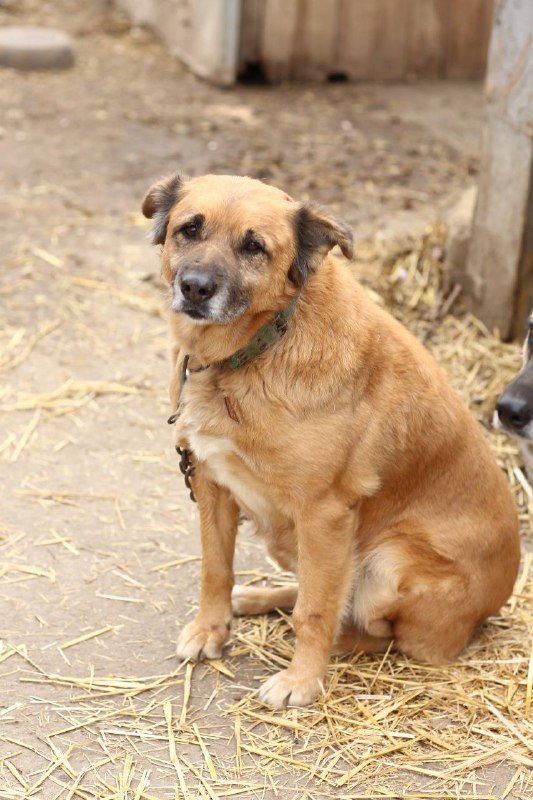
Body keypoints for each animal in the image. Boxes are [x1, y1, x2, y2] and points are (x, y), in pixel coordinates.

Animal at [141, 173, 520, 708]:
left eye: (254, 246)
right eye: (189, 229)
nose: (194, 287)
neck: (259, 346)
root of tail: (495, 602)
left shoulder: (324, 513)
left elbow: (316, 611)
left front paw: (301, 680)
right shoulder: (211, 484)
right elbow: (216, 571)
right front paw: (210, 629)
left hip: (387, 562)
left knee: (381, 633)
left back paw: (334, 639)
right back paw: (259, 598)